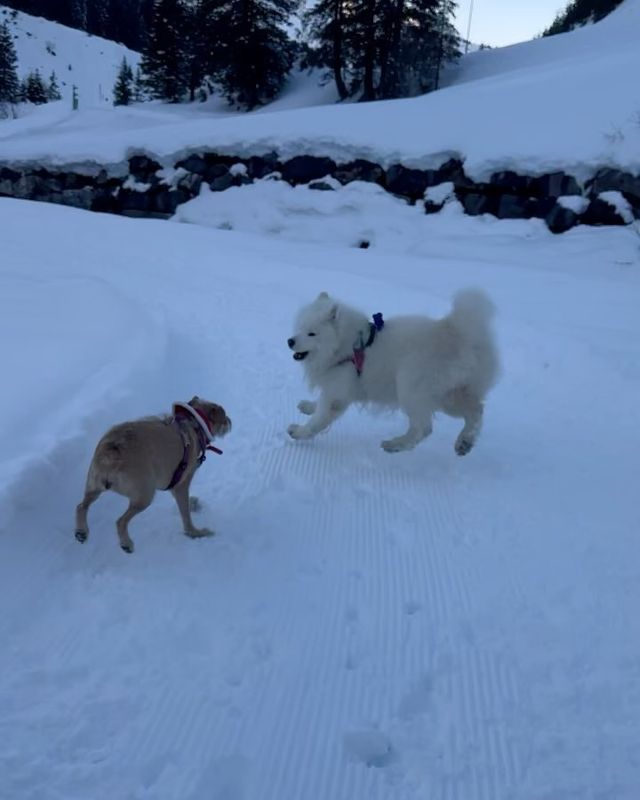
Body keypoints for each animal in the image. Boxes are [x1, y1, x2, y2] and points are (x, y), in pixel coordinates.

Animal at [74, 396, 231, 552]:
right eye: (224, 417)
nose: (230, 421)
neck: (194, 424)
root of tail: (112, 450)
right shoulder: (182, 483)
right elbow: (185, 514)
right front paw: (195, 532)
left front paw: (193, 503)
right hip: (144, 495)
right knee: (120, 521)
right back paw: (126, 543)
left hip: (93, 485)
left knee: (81, 506)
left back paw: (82, 531)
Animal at [288, 292, 502, 456]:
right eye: (299, 327)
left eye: (312, 333)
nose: (290, 341)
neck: (347, 347)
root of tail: (461, 335)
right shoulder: (337, 388)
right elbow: (318, 406)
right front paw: (308, 406)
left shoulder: (337, 392)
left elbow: (319, 419)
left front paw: (298, 432)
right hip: (450, 396)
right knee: (476, 411)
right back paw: (464, 442)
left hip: (411, 387)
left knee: (423, 429)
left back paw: (394, 444)